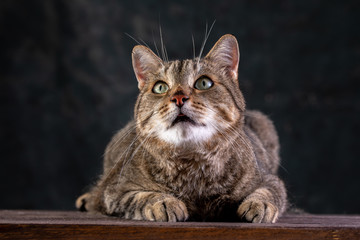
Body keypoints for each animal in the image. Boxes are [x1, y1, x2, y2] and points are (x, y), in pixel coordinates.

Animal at [75, 33, 286, 223]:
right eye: (160, 87)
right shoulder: (113, 190)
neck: (191, 165)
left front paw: (259, 205)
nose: (178, 97)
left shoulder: (271, 180)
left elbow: (268, 192)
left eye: (204, 83)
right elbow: (140, 196)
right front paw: (164, 203)